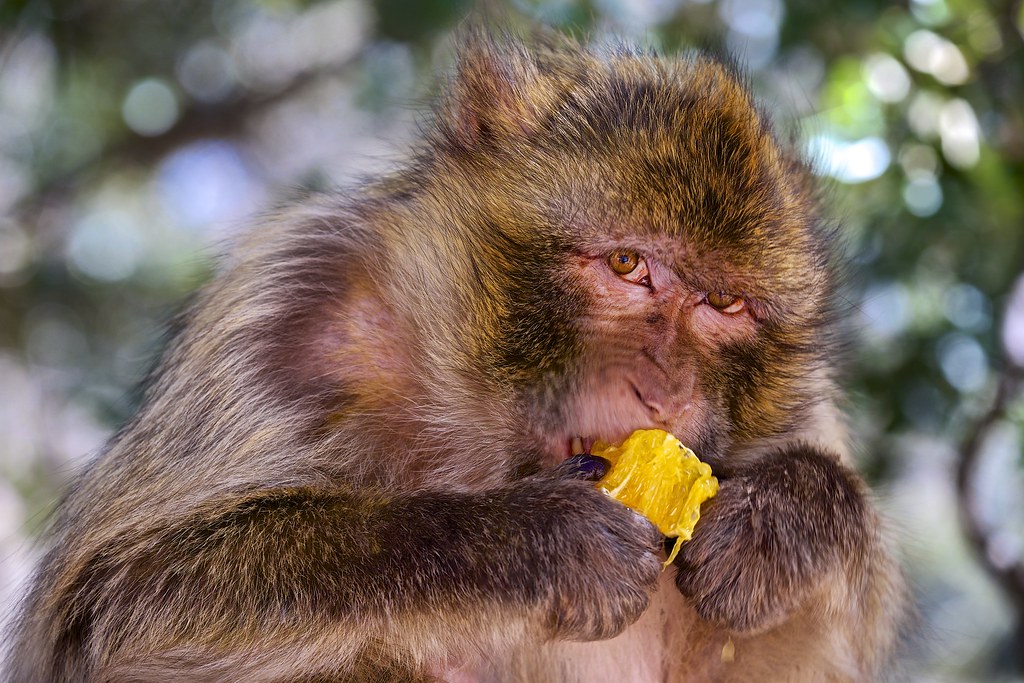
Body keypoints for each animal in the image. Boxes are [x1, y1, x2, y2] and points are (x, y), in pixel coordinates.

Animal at [5, 32, 906, 683]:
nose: (665, 389)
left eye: (725, 304)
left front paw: (784, 516)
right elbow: (120, 603)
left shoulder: (801, 403)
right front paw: (534, 543)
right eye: (626, 265)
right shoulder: (286, 307)